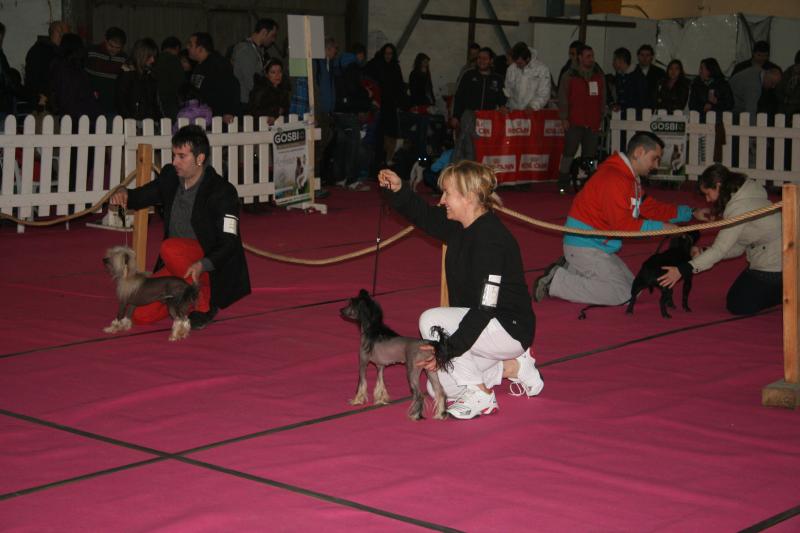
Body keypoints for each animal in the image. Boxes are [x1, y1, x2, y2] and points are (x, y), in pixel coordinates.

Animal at [340, 289, 448, 420]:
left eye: (350, 303)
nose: (340, 310)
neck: (372, 330)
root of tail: (429, 343)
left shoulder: (362, 363)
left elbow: (361, 383)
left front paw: (356, 401)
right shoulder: (380, 366)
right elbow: (380, 382)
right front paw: (381, 400)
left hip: (412, 371)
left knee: (419, 395)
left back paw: (414, 415)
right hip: (430, 370)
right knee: (440, 391)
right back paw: (440, 414)